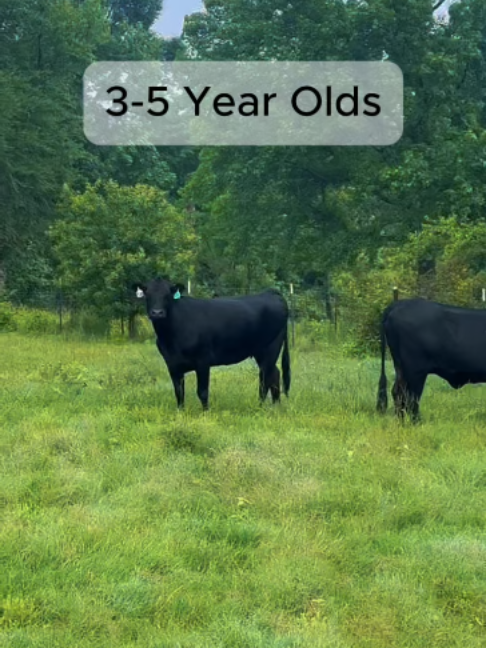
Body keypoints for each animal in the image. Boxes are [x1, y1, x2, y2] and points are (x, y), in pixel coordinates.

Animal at [133, 278, 291, 410]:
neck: (171, 337)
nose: (157, 312)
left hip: (270, 348)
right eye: (148, 295)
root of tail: (270, 293)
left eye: (167, 295)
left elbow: (202, 391)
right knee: (274, 374)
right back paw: (276, 406)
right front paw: (180, 412)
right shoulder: (172, 363)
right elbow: (179, 391)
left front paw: (205, 413)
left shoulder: (203, 360)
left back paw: (260, 407)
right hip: (261, 352)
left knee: (265, 378)